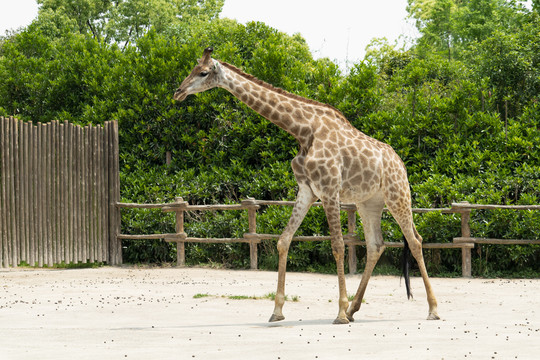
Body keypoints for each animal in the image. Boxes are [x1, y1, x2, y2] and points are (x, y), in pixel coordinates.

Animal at [173, 47, 438, 324]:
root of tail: (400, 163)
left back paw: (432, 309)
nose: (178, 92)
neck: (303, 131)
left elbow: (338, 245)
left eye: (203, 72)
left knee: (416, 241)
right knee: (376, 245)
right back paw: (355, 309)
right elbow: (284, 240)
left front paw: (339, 313)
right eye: (192, 69)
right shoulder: (307, 190)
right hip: (369, 203)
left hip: (397, 194)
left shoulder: (329, 190)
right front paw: (277, 311)